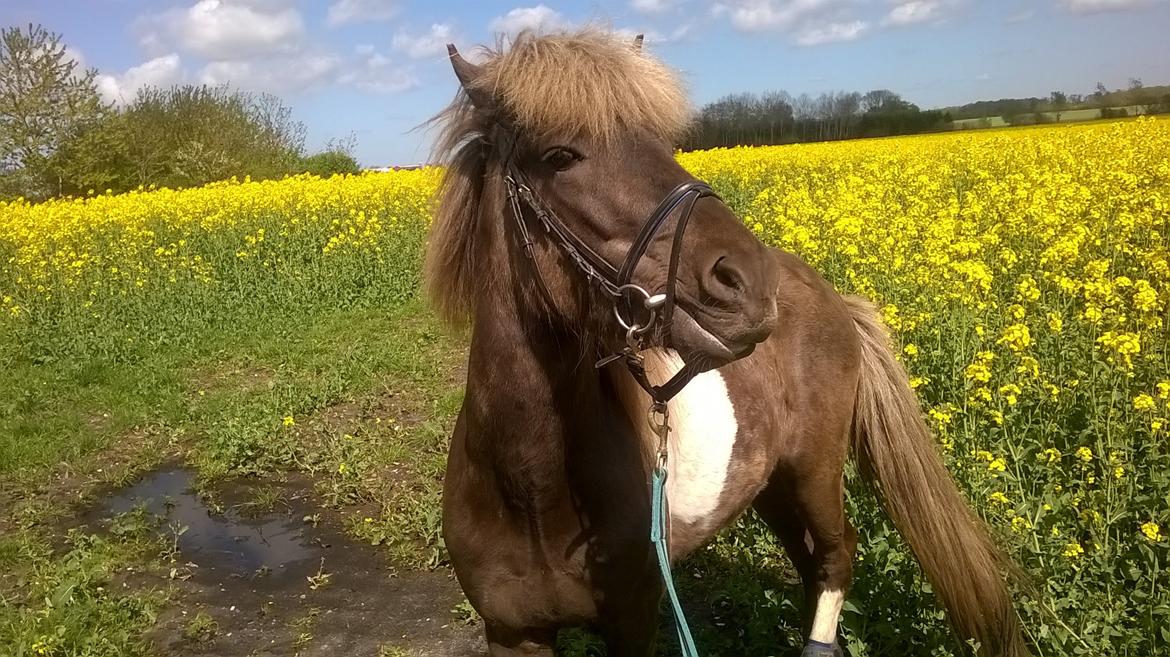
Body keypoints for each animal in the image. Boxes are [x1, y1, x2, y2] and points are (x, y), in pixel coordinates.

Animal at [428, 28, 1024, 649]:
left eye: (666, 144)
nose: (752, 283)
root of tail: (831, 296)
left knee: (837, 556)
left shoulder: (635, 619)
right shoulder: (510, 633)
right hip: (771, 487)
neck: (529, 488)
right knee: (810, 565)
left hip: (814, 472)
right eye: (559, 157)